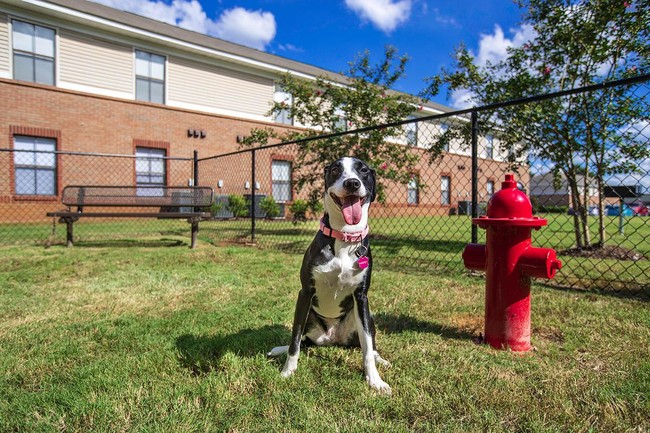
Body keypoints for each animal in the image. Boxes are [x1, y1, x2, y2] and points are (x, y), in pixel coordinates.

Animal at [268, 157, 390, 394]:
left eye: (363, 170)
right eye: (335, 170)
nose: (352, 183)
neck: (344, 236)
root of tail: (333, 339)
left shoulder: (362, 297)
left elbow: (367, 346)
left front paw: (375, 380)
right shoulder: (305, 293)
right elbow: (295, 339)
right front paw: (287, 371)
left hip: (367, 317)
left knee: (368, 344)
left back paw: (381, 359)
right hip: (309, 317)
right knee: (303, 340)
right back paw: (279, 349)